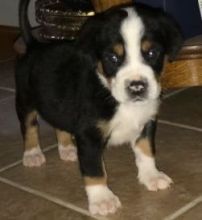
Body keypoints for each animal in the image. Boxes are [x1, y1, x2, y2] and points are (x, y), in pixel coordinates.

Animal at [16, 0, 182, 217]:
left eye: (152, 53)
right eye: (112, 57)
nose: (137, 87)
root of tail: (33, 46)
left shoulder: (146, 123)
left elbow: (146, 151)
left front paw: (152, 176)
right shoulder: (89, 135)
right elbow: (94, 170)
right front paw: (103, 200)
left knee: (59, 124)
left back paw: (67, 148)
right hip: (25, 100)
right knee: (29, 127)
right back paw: (33, 154)